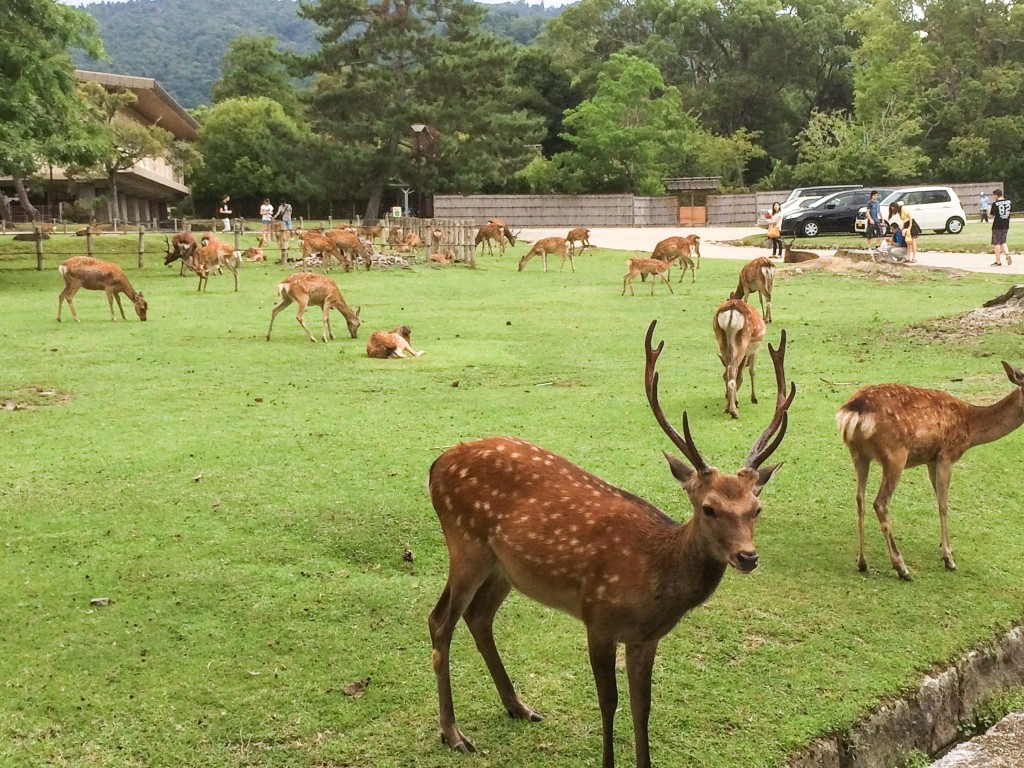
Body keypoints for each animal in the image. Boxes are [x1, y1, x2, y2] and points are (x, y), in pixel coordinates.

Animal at [428, 319, 794, 768]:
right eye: (708, 508)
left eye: (756, 508)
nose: (747, 556)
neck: (653, 577)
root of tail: (434, 466)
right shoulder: (597, 618)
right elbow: (608, 702)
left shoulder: (645, 638)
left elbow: (643, 706)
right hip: (465, 544)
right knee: (440, 620)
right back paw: (452, 732)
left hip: (504, 568)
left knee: (478, 617)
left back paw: (519, 707)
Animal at [835, 364, 1024, 581]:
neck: (970, 429)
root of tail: (854, 411)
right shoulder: (946, 455)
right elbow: (943, 504)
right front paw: (948, 558)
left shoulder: (931, 460)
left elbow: (938, 499)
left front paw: (945, 547)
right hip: (895, 455)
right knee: (880, 503)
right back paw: (902, 568)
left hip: (858, 454)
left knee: (860, 500)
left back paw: (863, 563)